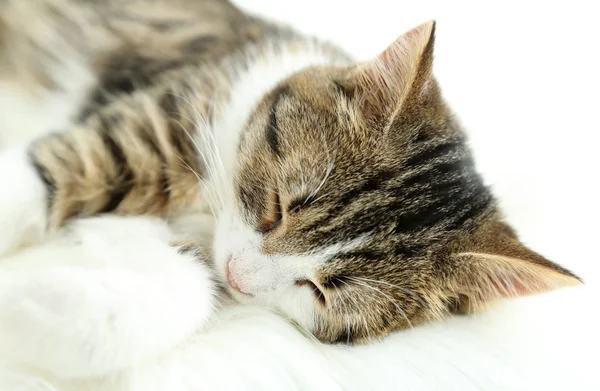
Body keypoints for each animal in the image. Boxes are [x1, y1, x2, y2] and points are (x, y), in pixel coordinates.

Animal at [0, 0, 580, 350]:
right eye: (278, 206)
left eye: (320, 291)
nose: (237, 275)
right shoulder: (172, 114)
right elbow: (70, 164)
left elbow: (183, 288)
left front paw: (38, 314)